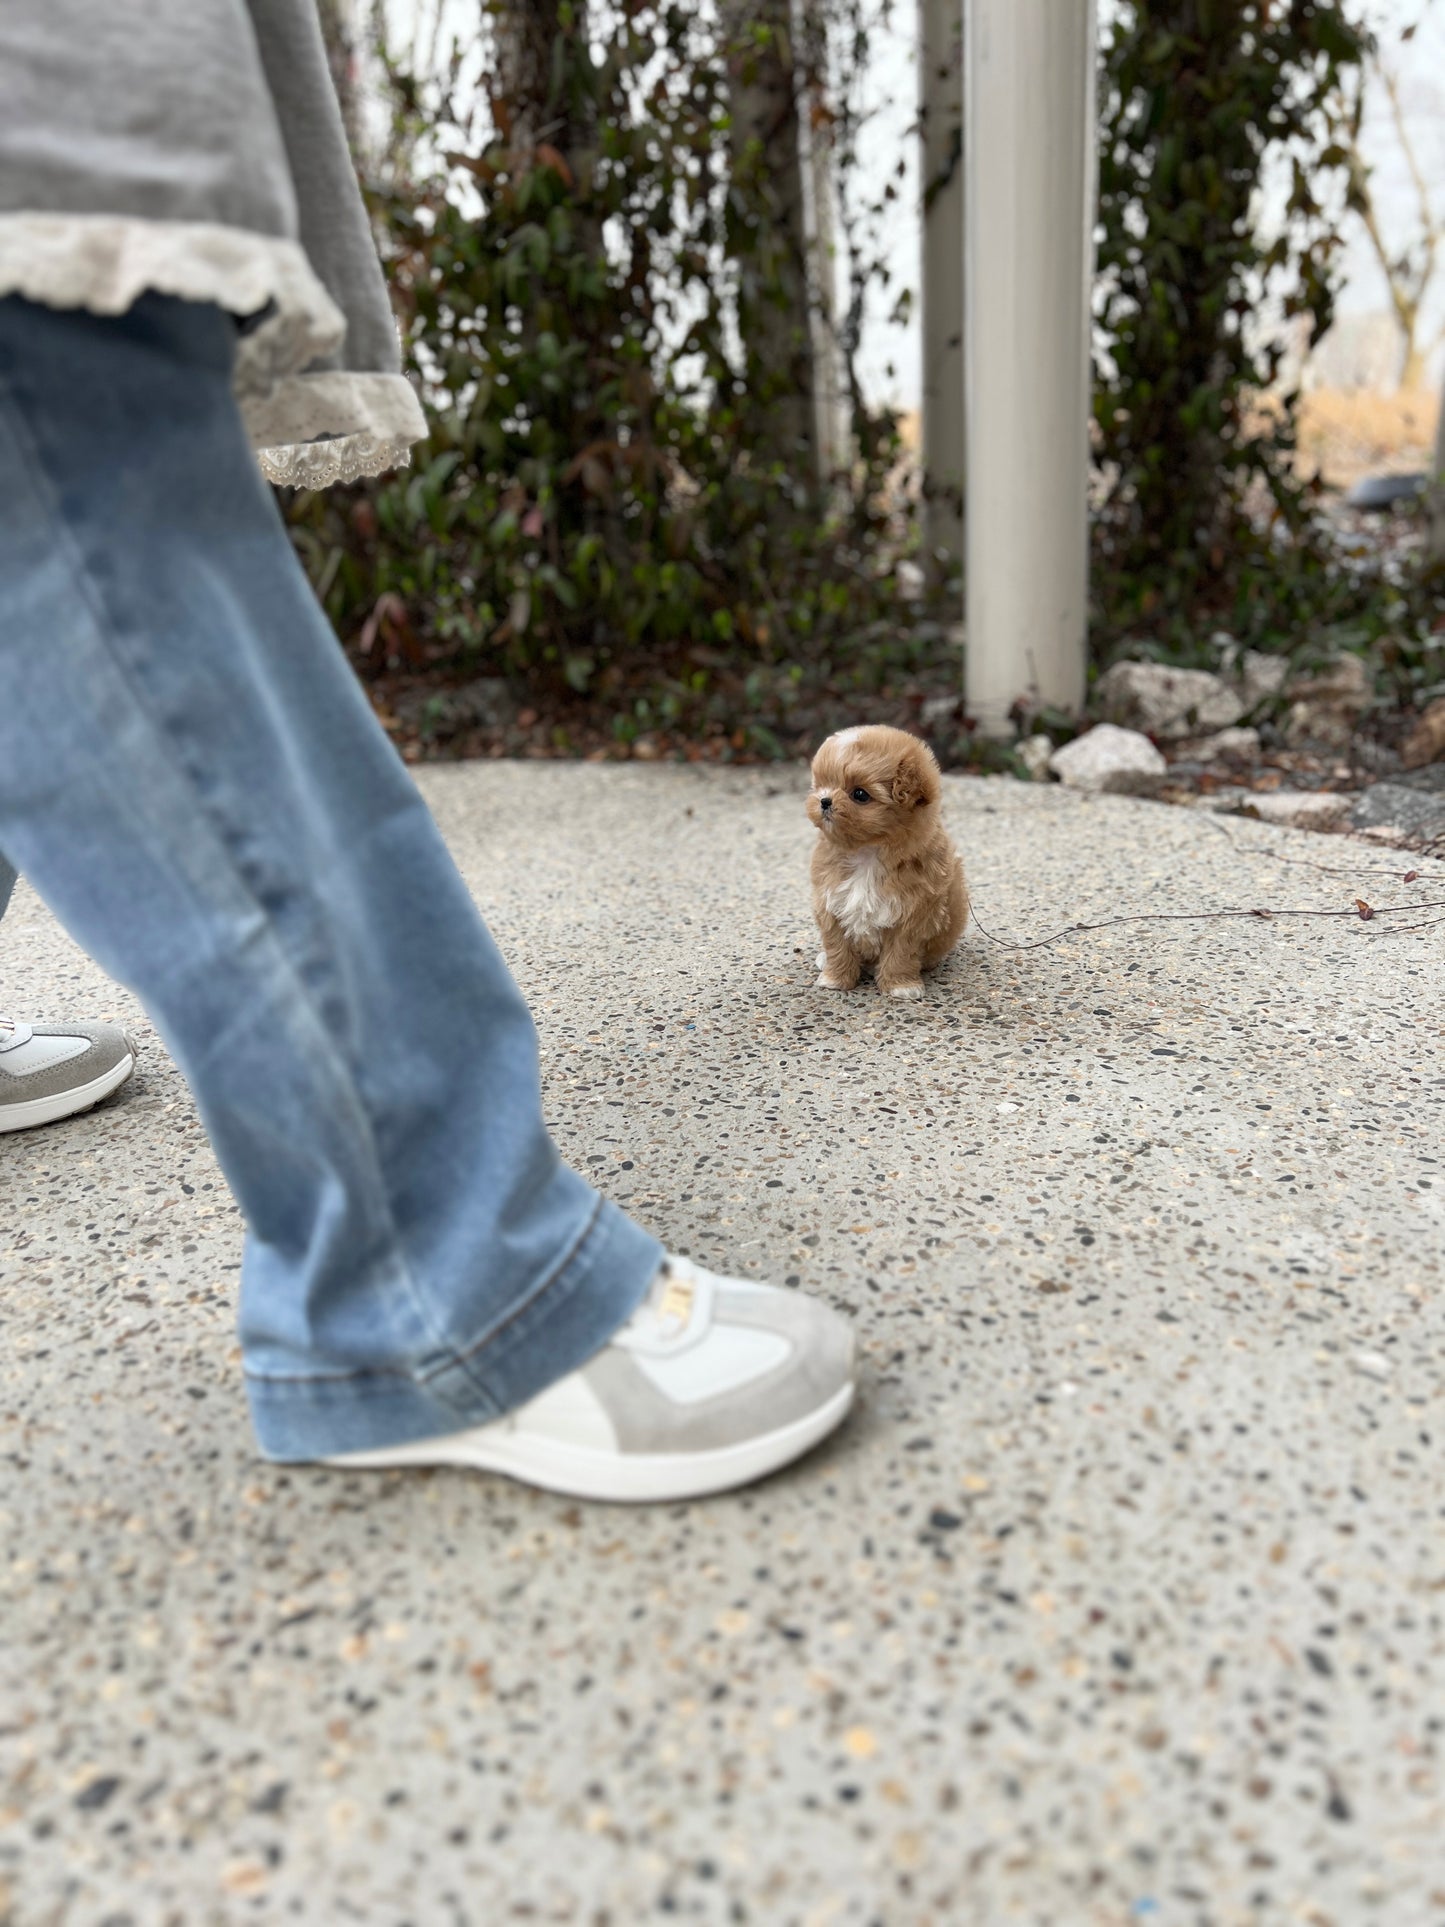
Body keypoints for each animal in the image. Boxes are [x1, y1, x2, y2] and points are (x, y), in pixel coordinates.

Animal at [805, 728, 974, 1002]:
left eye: (859, 794)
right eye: (821, 785)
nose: (824, 800)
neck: (867, 854)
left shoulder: (913, 914)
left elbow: (901, 952)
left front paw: (899, 985)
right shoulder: (831, 903)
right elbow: (837, 945)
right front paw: (835, 979)